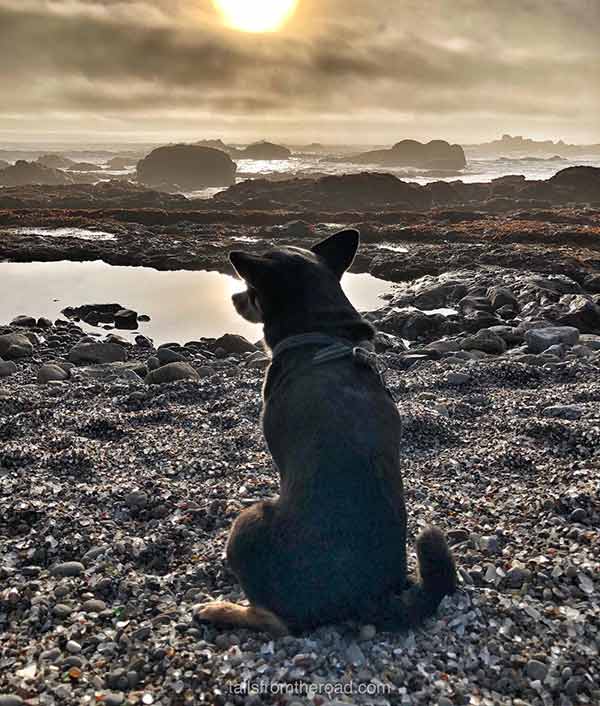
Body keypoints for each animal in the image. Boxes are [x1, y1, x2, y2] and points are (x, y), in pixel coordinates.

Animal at [195, 228, 458, 636]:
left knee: (275, 621)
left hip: (247, 522)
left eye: (250, 289)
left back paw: (221, 609)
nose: (234, 297)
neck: (321, 333)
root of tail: (369, 600)